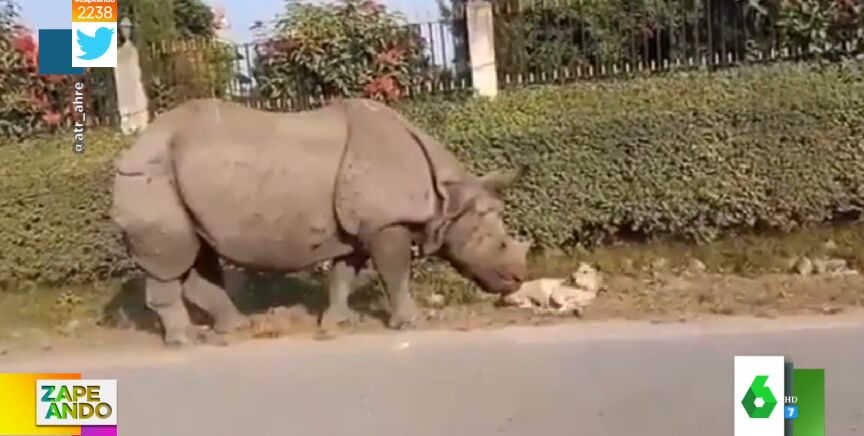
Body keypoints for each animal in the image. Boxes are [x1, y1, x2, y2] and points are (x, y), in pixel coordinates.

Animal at [110, 97, 529, 347]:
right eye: (496, 243)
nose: (518, 278)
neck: (447, 196)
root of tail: (130, 150)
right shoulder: (385, 223)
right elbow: (396, 273)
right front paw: (411, 324)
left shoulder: (358, 228)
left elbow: (344, 273)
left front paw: (339, 323)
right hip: (152, 177)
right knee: (173, 261)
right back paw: (185, 341)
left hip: (178, 179)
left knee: (198, 255)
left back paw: (235, 328)